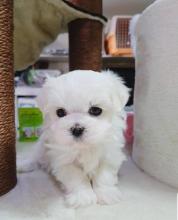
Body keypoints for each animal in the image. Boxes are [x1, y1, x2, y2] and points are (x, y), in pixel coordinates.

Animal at [18, 70, 129, 208]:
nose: (77, 129)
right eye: (60, 112)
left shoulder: (110, 156)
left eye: (96, 110)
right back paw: (23, 165)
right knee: (35, 158)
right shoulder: (63, 161)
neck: (85, 146)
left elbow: (104, 176)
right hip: (41, 149)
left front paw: (107, 194)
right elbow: (77, 178)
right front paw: (83, 197)